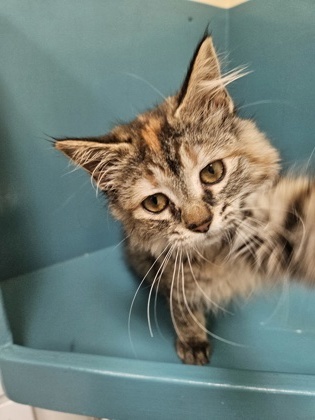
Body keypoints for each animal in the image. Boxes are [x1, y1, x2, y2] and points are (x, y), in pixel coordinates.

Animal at [54, 35, 315, 364]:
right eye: (155, 203)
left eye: (212, 172)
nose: (201, 224)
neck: (215, 256)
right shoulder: (169, 272)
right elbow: (182, 305)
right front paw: (192, 340)